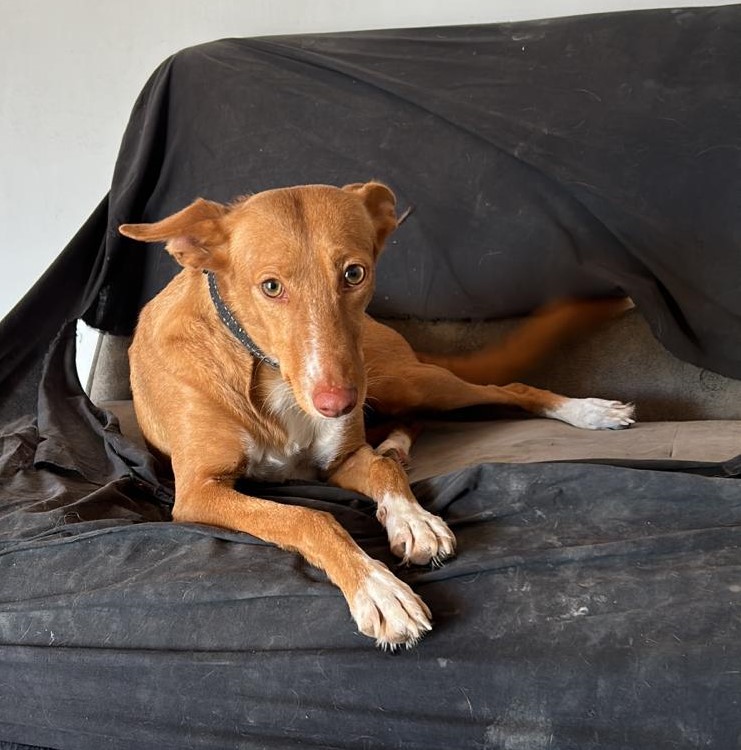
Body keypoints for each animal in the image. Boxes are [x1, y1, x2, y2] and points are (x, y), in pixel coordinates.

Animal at [119, 181, 635, 649]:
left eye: (353, 273)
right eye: (271, 286)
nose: (337, 404)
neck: (267, 372)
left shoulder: (340, 456)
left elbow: (378, 474)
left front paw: (412, 520)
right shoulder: (198, 491)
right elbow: (307, 518)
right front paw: (379, 587)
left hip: (400, 379)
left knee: (504, 390)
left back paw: (588, 412)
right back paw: (395, 443)